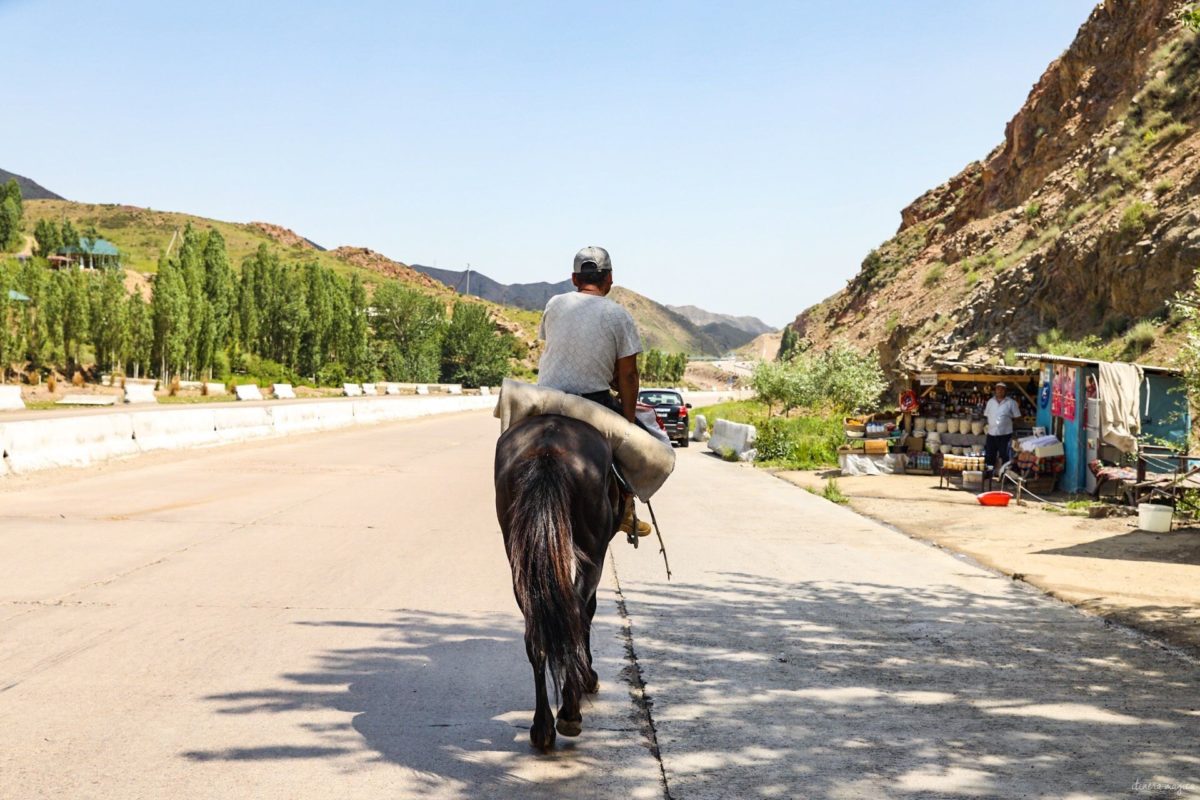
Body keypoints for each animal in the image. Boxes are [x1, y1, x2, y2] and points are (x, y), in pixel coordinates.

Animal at [494, 412, 624, 753]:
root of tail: (547, 449)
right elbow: (589, 609)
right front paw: (588, 677)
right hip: (593, 548)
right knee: (576, 613)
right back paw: (570, 711)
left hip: (519, 551)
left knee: (537, 629)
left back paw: (542, 728)